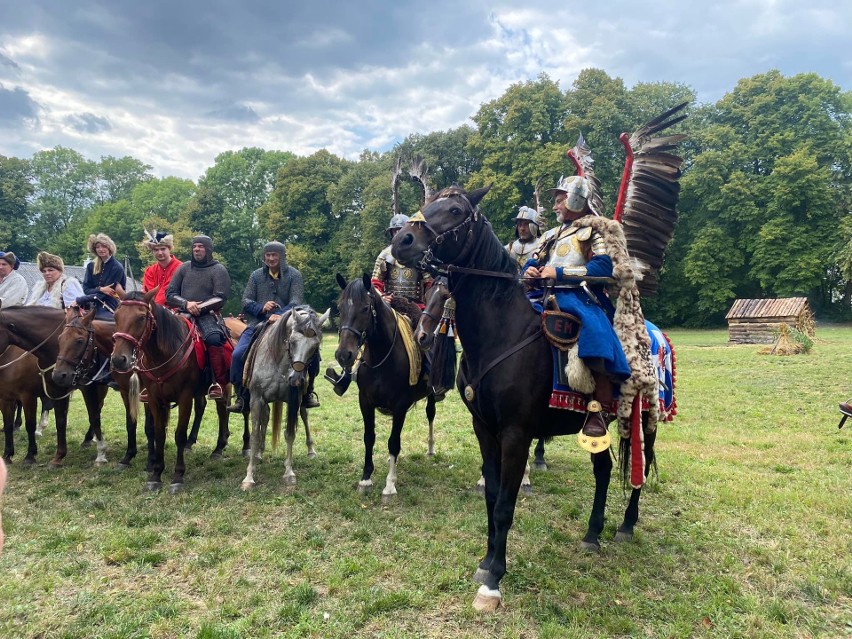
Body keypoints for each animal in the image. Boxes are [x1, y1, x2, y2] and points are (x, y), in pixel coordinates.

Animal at [110, 292, 231, 496]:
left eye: (141, 318)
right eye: (116, 316)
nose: (119, 359)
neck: (164, 353)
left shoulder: (185, 397)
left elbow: (179, 435)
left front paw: (177, 476)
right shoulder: (154, 399)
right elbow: (159, 433)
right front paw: (156, 474)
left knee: (228, 410)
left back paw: (227, 448)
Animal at [332, 272, 440, 502]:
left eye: (365, 308)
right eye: (340, 307)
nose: (344, 355)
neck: (382, 356)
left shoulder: (400, 406)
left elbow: (393, 442)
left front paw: (390, 485)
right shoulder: (365, 402)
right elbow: (369, 437)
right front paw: (365, 478)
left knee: (430, 414)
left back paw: (430, 448)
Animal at [392, 185, 664, 608]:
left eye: (454, 210)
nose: (402, 240)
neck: (502, 333)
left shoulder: (516, 434)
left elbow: (506, 503)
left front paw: (494, 580)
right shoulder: (484, 430)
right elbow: (491, 496)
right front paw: (486, 561)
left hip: (645, 417)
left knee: (640, 468)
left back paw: (626, 525)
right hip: (598, 425)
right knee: (603, 471)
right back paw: (592, 534)